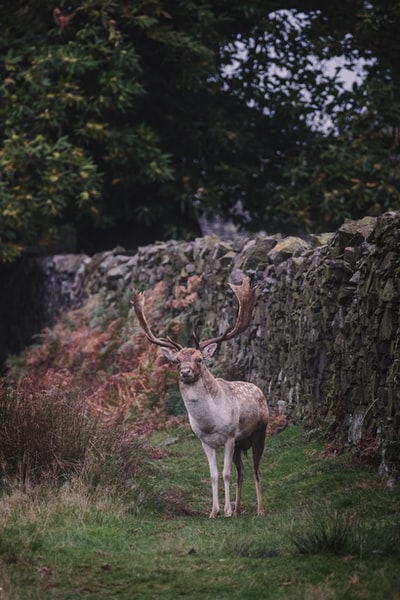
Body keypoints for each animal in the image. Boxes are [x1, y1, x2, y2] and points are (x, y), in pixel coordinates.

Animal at [132, 276, 268, 516]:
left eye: (199, 359)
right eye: (176, 361)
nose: (186, 372)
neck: (210, 423)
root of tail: (260, 390)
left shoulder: (230, 435)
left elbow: (225, 474)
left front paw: (227, 511)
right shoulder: (205, 440)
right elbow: (214, 475)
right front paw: (214, 512)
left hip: (259, 432)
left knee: (255, 469)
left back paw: (259, 510)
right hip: (241, 443)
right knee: (241, 471)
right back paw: (239, 509)